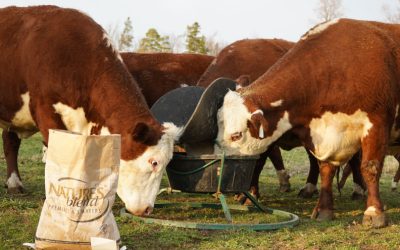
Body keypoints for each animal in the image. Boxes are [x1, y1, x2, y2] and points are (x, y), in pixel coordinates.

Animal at [216, 18, 400, 228]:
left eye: (236, 135)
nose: (219, 172)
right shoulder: (324, 135)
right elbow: (326, 169)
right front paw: (324, 209)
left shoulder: (377, 124)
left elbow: (370, 167)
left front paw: (374, 212)